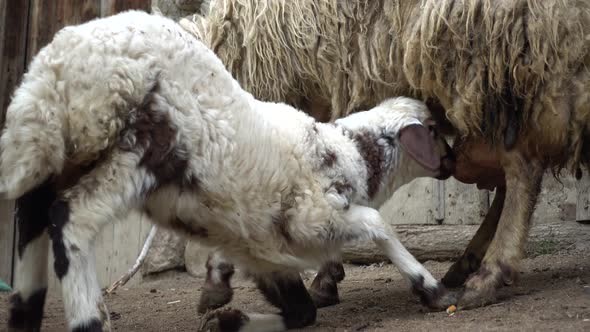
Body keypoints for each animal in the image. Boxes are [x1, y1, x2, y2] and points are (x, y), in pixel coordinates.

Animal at [2, 11, 460, 332]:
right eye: (435, 131)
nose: (455, 163)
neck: (348, 153)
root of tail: (58, 69)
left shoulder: (262, 252)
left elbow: (302, 313)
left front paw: (224, 315)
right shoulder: (313, 218)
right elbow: (378, 224)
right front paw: (431, 289)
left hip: (50, 154)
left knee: (32, 224)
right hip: (139, 148)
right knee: (70, 220)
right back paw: (89, 319)